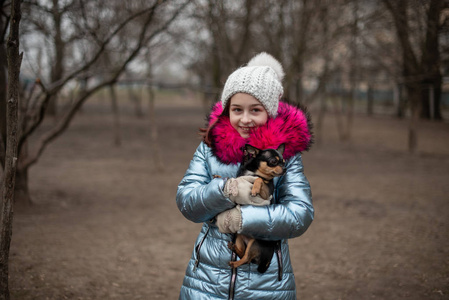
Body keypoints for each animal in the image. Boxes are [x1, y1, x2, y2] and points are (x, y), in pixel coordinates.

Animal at [229, 144, 286, 274]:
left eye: (284, 162)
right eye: (273, 162)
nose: (285, 168)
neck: (254, 172)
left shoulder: (266, 194)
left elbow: (258, 180)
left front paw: (255, 188)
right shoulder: (240, 178)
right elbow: (234, 179)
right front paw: (218, 177)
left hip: (254, 242)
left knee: (247, 259)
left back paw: (234, 263)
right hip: (239, 237)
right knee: (243, 254)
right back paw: (233, 248)